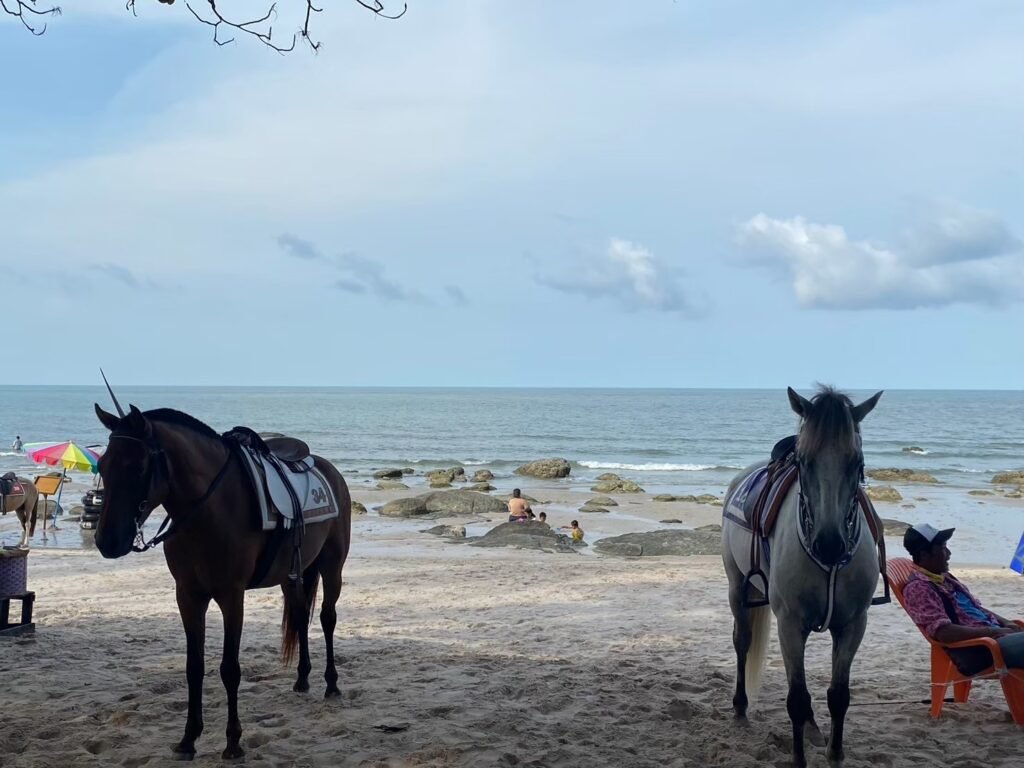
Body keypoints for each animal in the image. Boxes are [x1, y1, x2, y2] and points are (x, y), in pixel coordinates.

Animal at [96, 405, 352, 761]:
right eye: (102, 465)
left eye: (138, 466)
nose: (106, 541)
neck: (208, 511)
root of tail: (330, 470)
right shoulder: (188, 596)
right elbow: (194, 666)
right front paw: (188, 739)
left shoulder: (232, 596)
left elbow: (230, 668)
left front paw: (233, 742)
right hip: (294, 574)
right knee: (301, 616)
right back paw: (302, 679)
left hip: (332, 566)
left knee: (328, 618)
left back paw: (332, 683)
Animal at [720, 387, 880, 765]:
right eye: (803, 461)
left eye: (857, 462)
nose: (829, 543)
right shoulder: (790, 623)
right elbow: (796, 698)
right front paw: (798, 759)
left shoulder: (853, 624)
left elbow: (838, 695)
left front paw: (835, 754)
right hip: (738, 588)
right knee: (742, 642)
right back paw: (740, 706)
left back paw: (811, 727)